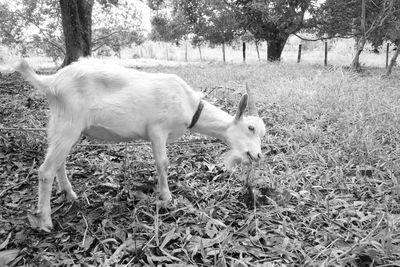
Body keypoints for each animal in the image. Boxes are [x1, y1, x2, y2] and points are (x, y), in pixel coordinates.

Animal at [13, 59, 266, 232]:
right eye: (250, 128)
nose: (258, 155)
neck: (189, 104)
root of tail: (50, 82)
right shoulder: (157, 130)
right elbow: (163, 163)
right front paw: (166, 197)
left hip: (65, 127)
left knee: (60, 162)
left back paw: (69, 193)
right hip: (68, 123)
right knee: (45, 170)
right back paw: (45, 221)